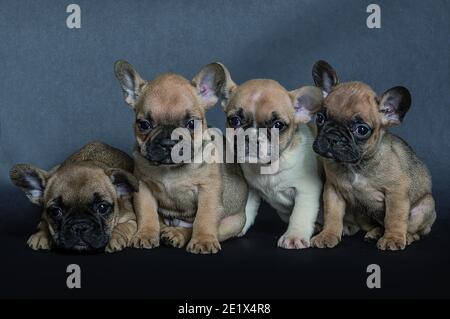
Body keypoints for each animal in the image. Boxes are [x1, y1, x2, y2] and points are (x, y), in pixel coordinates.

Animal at [9, 141, 138, 254]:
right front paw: (41, 235)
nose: (79, 226)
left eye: (102, 208)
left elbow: (122, 227)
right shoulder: (45, 215)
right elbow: (44, 223)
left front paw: (114, 238)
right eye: (55, 211)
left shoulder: (131, 219)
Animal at [114, 60, 248, 255]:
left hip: (233, 223)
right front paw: (145, 234)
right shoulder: (143, 187)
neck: (170, 169)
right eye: (144, 124)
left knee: (192, 228)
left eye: (191, 123)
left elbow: (204, 218)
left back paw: (177, 235)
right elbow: (147, 213)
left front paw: (203, 240)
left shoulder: (208, 190)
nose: (169, 141)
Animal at [197, 62, 324, 250]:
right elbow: (247, 209)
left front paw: (294, 236)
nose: (251, 137)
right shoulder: (251, 189)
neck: (268, 166)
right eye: (234, 120)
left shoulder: (307, 190)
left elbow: (300, 214)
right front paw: (238, 227)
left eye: (278, 125)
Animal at [310, 59, 436, 250]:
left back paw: (405, 236)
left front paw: (392, 238)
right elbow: (332, 215)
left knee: (415, 230)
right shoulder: (333, 191)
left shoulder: (396, 193)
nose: (333, 137)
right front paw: (328, 234)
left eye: (362, 130)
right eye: (320, 118)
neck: (356, 165)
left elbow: (394, 217)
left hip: (425, 206)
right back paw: (371, 232)